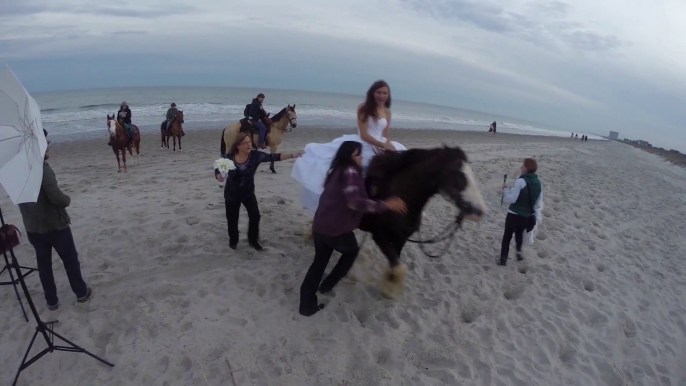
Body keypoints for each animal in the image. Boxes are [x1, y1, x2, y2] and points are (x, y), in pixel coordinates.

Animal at [360, 146, 490, 298]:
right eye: (460, 175)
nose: (480, 211)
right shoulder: (380, 237)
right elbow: (399, 267)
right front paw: (389, 290)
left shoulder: (400, 240)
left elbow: (396, 264)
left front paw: (389, 285)